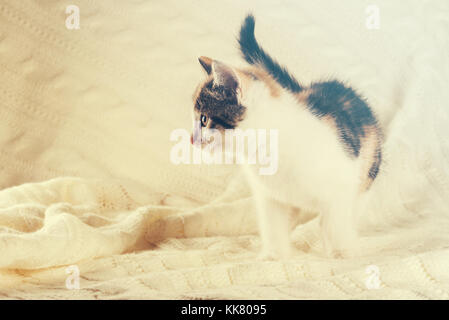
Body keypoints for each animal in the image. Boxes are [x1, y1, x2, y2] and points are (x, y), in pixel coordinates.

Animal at [189, 15, 382, 260]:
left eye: (204, 119)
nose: (191, 139)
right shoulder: (269, 197)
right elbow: (272, 225)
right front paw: (273, 256)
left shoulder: (341, 183)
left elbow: (335, 222)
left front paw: (341, 253)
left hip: (367, 173)